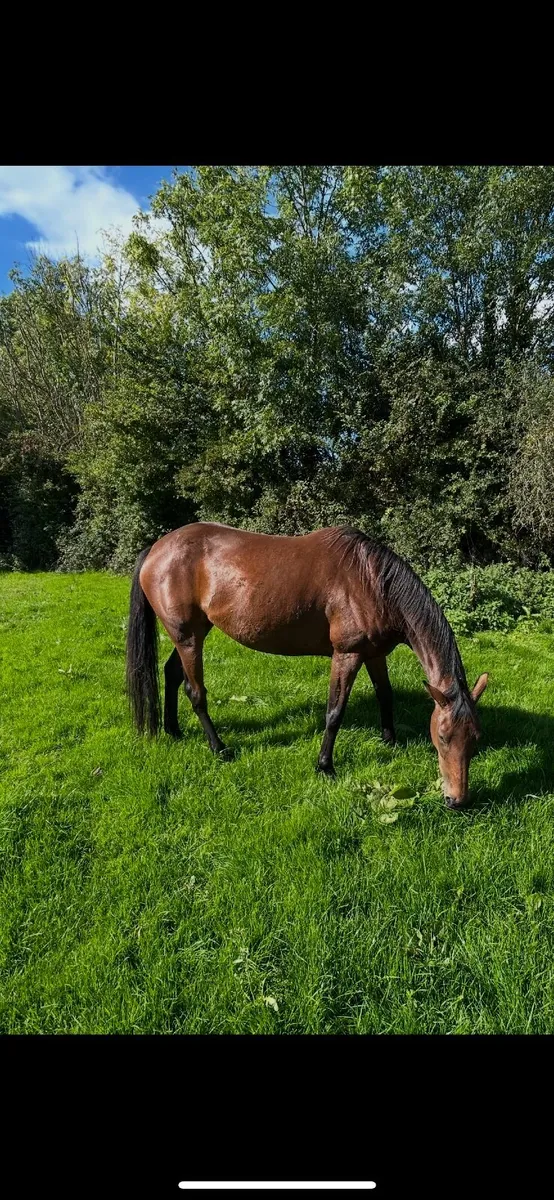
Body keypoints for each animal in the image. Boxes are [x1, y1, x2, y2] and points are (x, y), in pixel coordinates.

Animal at [125, 522, 488, 809]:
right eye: (442, 737)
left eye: (475, 738)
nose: (457, 800)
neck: (372, 581)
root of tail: (157, 548)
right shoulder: (347, 654)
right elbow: (334, 712)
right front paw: (325, 766)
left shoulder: (374, 654)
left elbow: (385, 695)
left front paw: (390, 740)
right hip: (187, 637)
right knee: (195, 690)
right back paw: (219, 748)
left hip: (193, 633)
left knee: (172, 675)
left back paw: (173, 730)